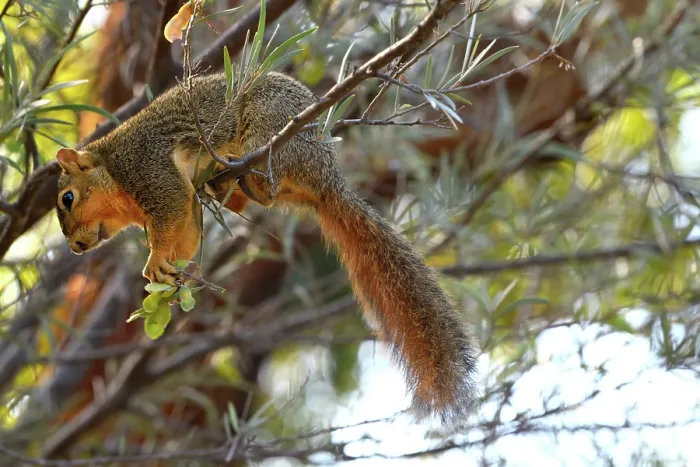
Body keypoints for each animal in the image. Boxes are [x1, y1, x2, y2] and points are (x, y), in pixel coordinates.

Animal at [55, 71, 479, 425]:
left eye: (67, 198)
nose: (76, 248)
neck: (113, 172)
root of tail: (328, 179)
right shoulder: (178, 201)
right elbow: (188, 230)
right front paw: (171, 271)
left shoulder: (148, 169)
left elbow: (173, 207)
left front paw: (154, 260)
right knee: (257, 201)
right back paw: (228, 185)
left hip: (268, 124)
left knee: (268, 177)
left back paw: (242, 171)